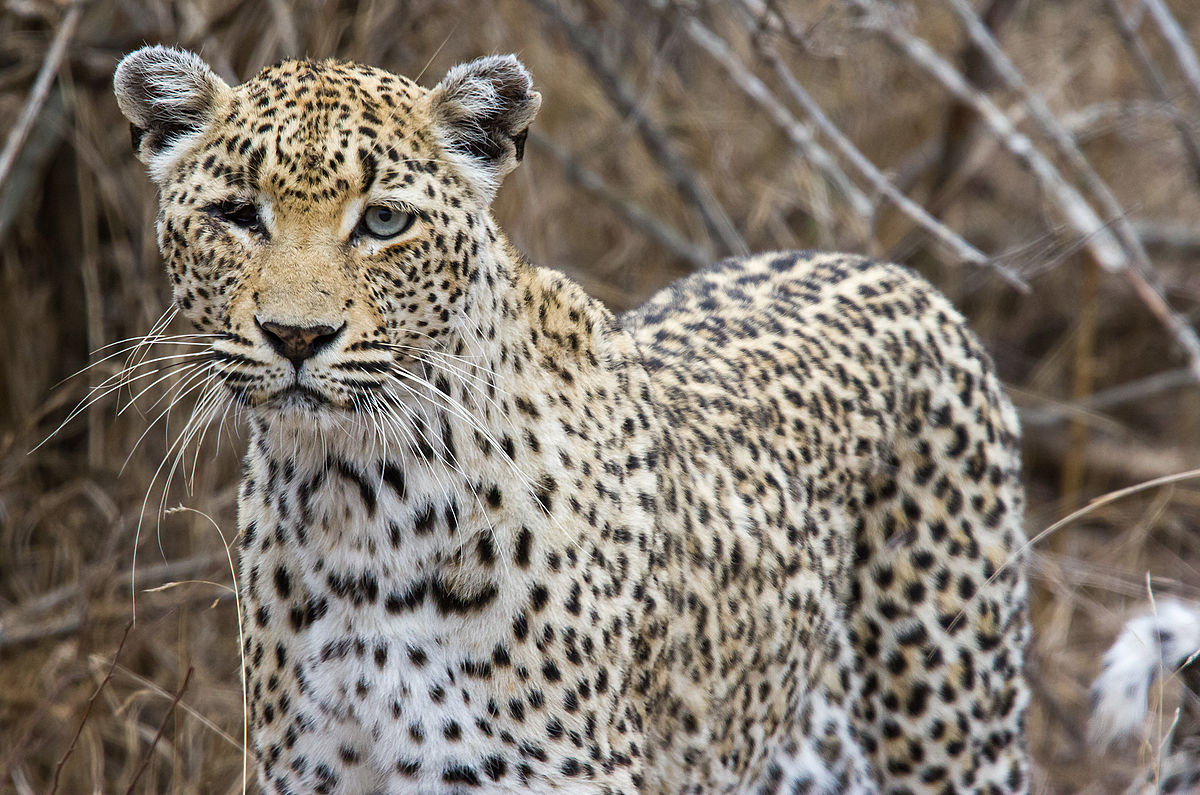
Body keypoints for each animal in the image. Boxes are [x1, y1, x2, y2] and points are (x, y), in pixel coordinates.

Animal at [114, 45, 1032, 795]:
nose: (297, 335)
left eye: (383, 220)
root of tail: (888, 271)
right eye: (238, 214)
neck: (355, 502)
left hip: (955, 724)